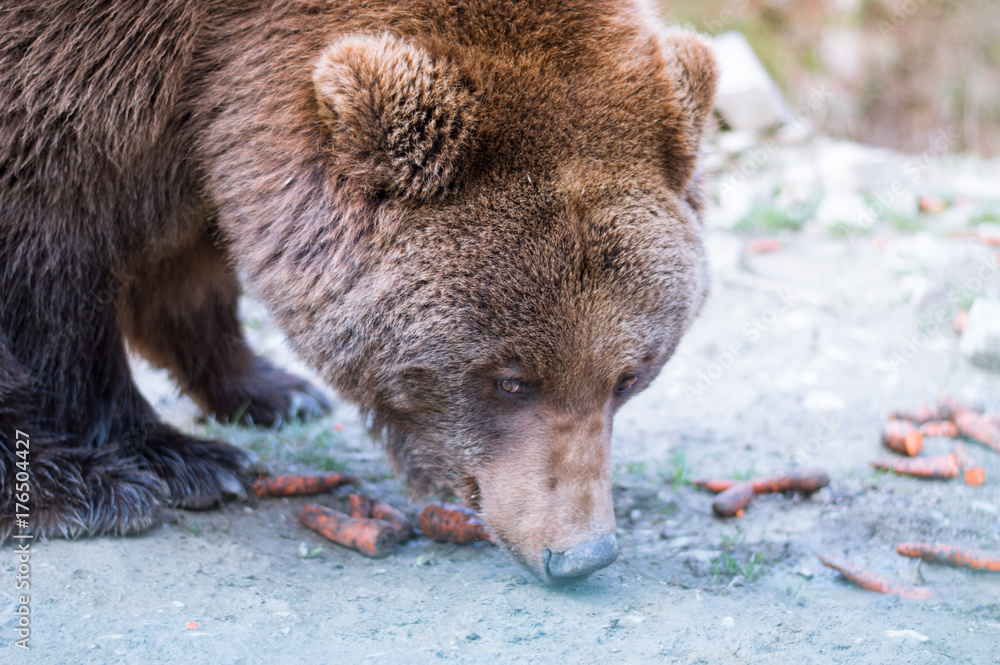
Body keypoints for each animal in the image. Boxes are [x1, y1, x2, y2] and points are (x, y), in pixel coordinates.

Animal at [0, 0, 716, 584]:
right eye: (510, 380)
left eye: (629, 378)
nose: (580, 554)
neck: (225, 35)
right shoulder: (71, 79)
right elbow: (52, 273)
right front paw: (147, 465)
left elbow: (191, 258)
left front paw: (271, 390)